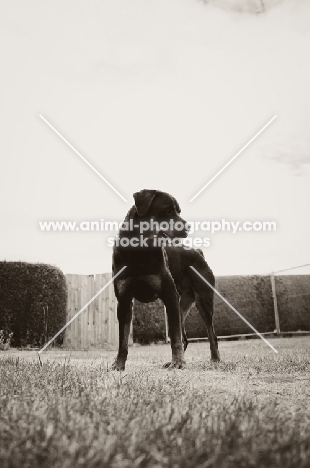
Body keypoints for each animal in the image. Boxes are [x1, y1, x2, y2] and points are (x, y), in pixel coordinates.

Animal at [112, 189, 220, 370]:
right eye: (168, 210)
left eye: (178, 211)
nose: (188, 227)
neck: (139, 250)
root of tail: (198, 252)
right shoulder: (124, 300)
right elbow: (122, 339)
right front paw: (118, 364)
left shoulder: (170, 295)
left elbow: (175, 337)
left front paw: (178, 363)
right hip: (181, 305)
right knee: (184, 337)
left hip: (202, 300)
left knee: (211, 333)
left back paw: (215, 360)